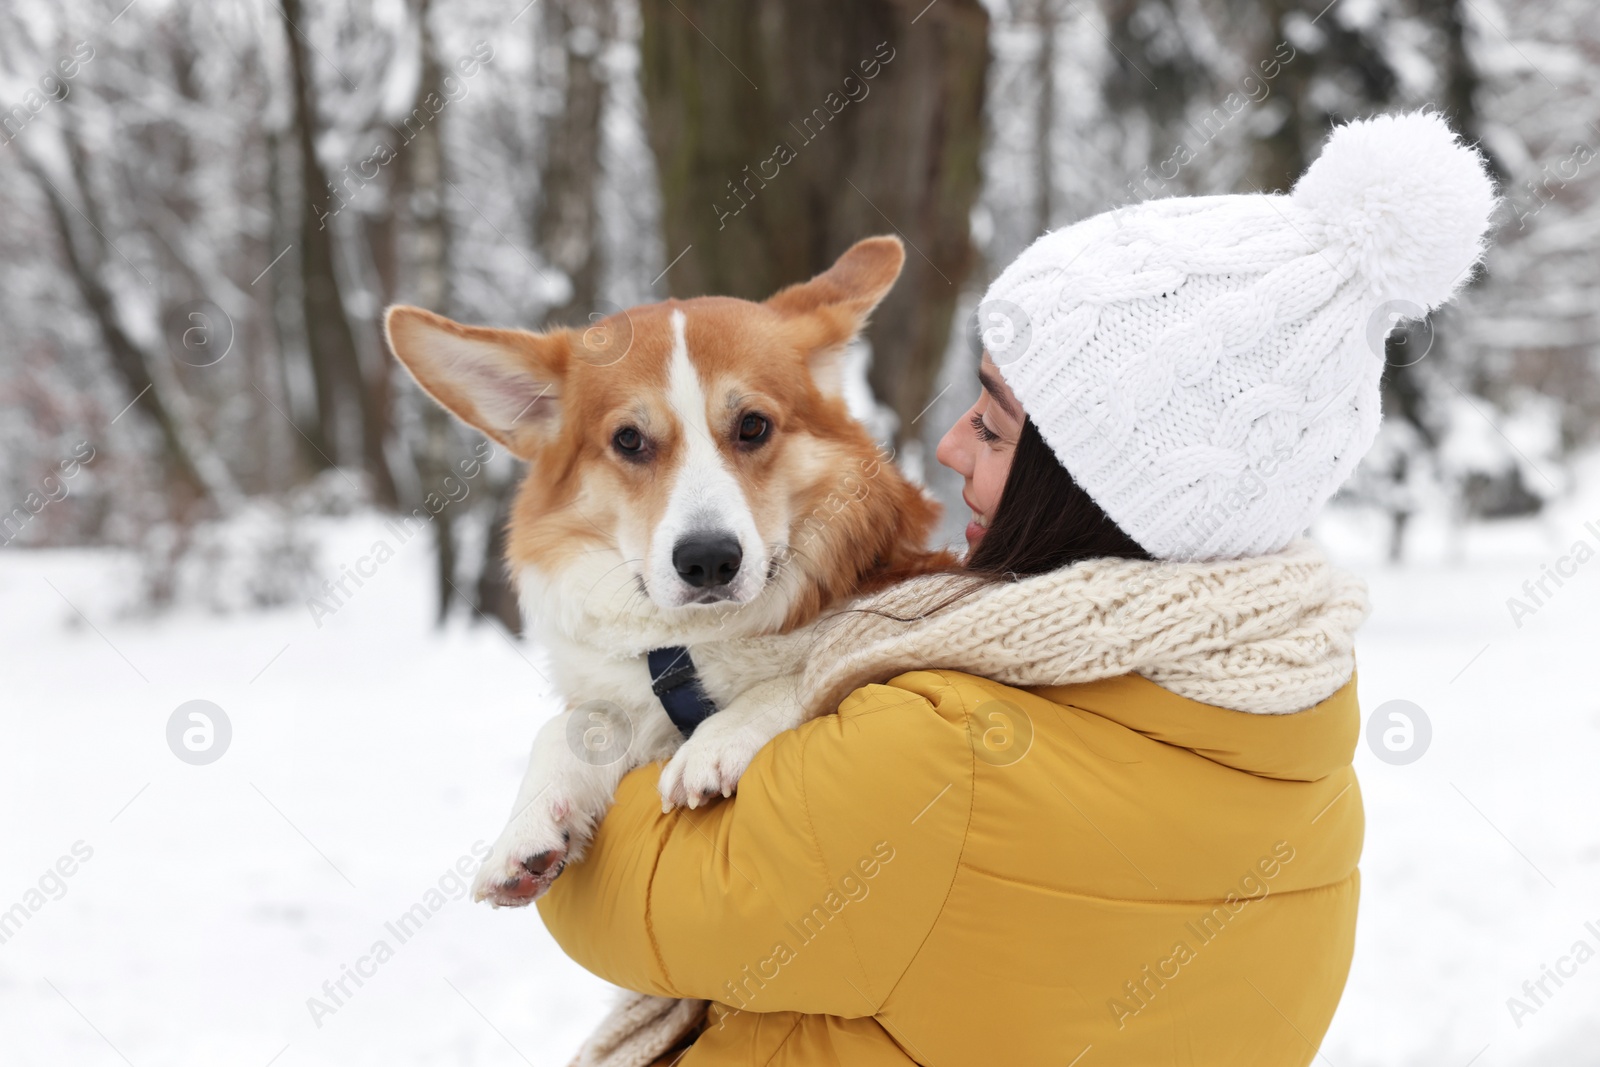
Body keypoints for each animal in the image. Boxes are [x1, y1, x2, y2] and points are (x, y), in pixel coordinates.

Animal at [380, 238, 940, 908]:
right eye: (628, 440)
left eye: (753, 425)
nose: (709, 560)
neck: (697, 644)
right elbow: (567, 725)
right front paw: (527, 825)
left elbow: (806, 671)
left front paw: (720, 738)